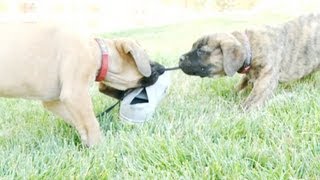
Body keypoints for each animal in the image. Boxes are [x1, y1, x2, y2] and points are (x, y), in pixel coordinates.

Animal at [179, 13, 320, 109]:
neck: (250, 48)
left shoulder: (266, 79)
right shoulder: (249, 75)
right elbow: (239, 85)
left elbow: (252, 99)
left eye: (200, 51)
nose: (180, 58)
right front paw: (230, 94)